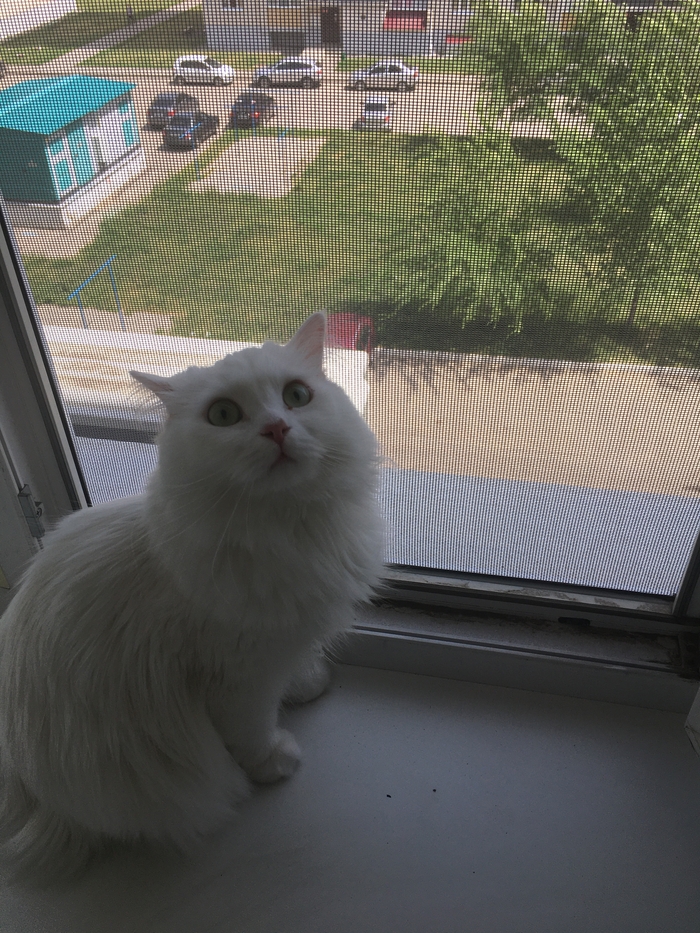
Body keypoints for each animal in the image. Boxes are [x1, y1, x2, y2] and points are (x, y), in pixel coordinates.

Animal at [0, 312, 383, 881]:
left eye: (296, 396)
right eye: (224, 415)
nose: (277, 429)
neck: (289, 529)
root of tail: (35, 798)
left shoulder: (286, 638)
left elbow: (296, 672)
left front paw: (309, 683)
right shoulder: (238, 673)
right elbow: (252, 729)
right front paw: (274, 762)